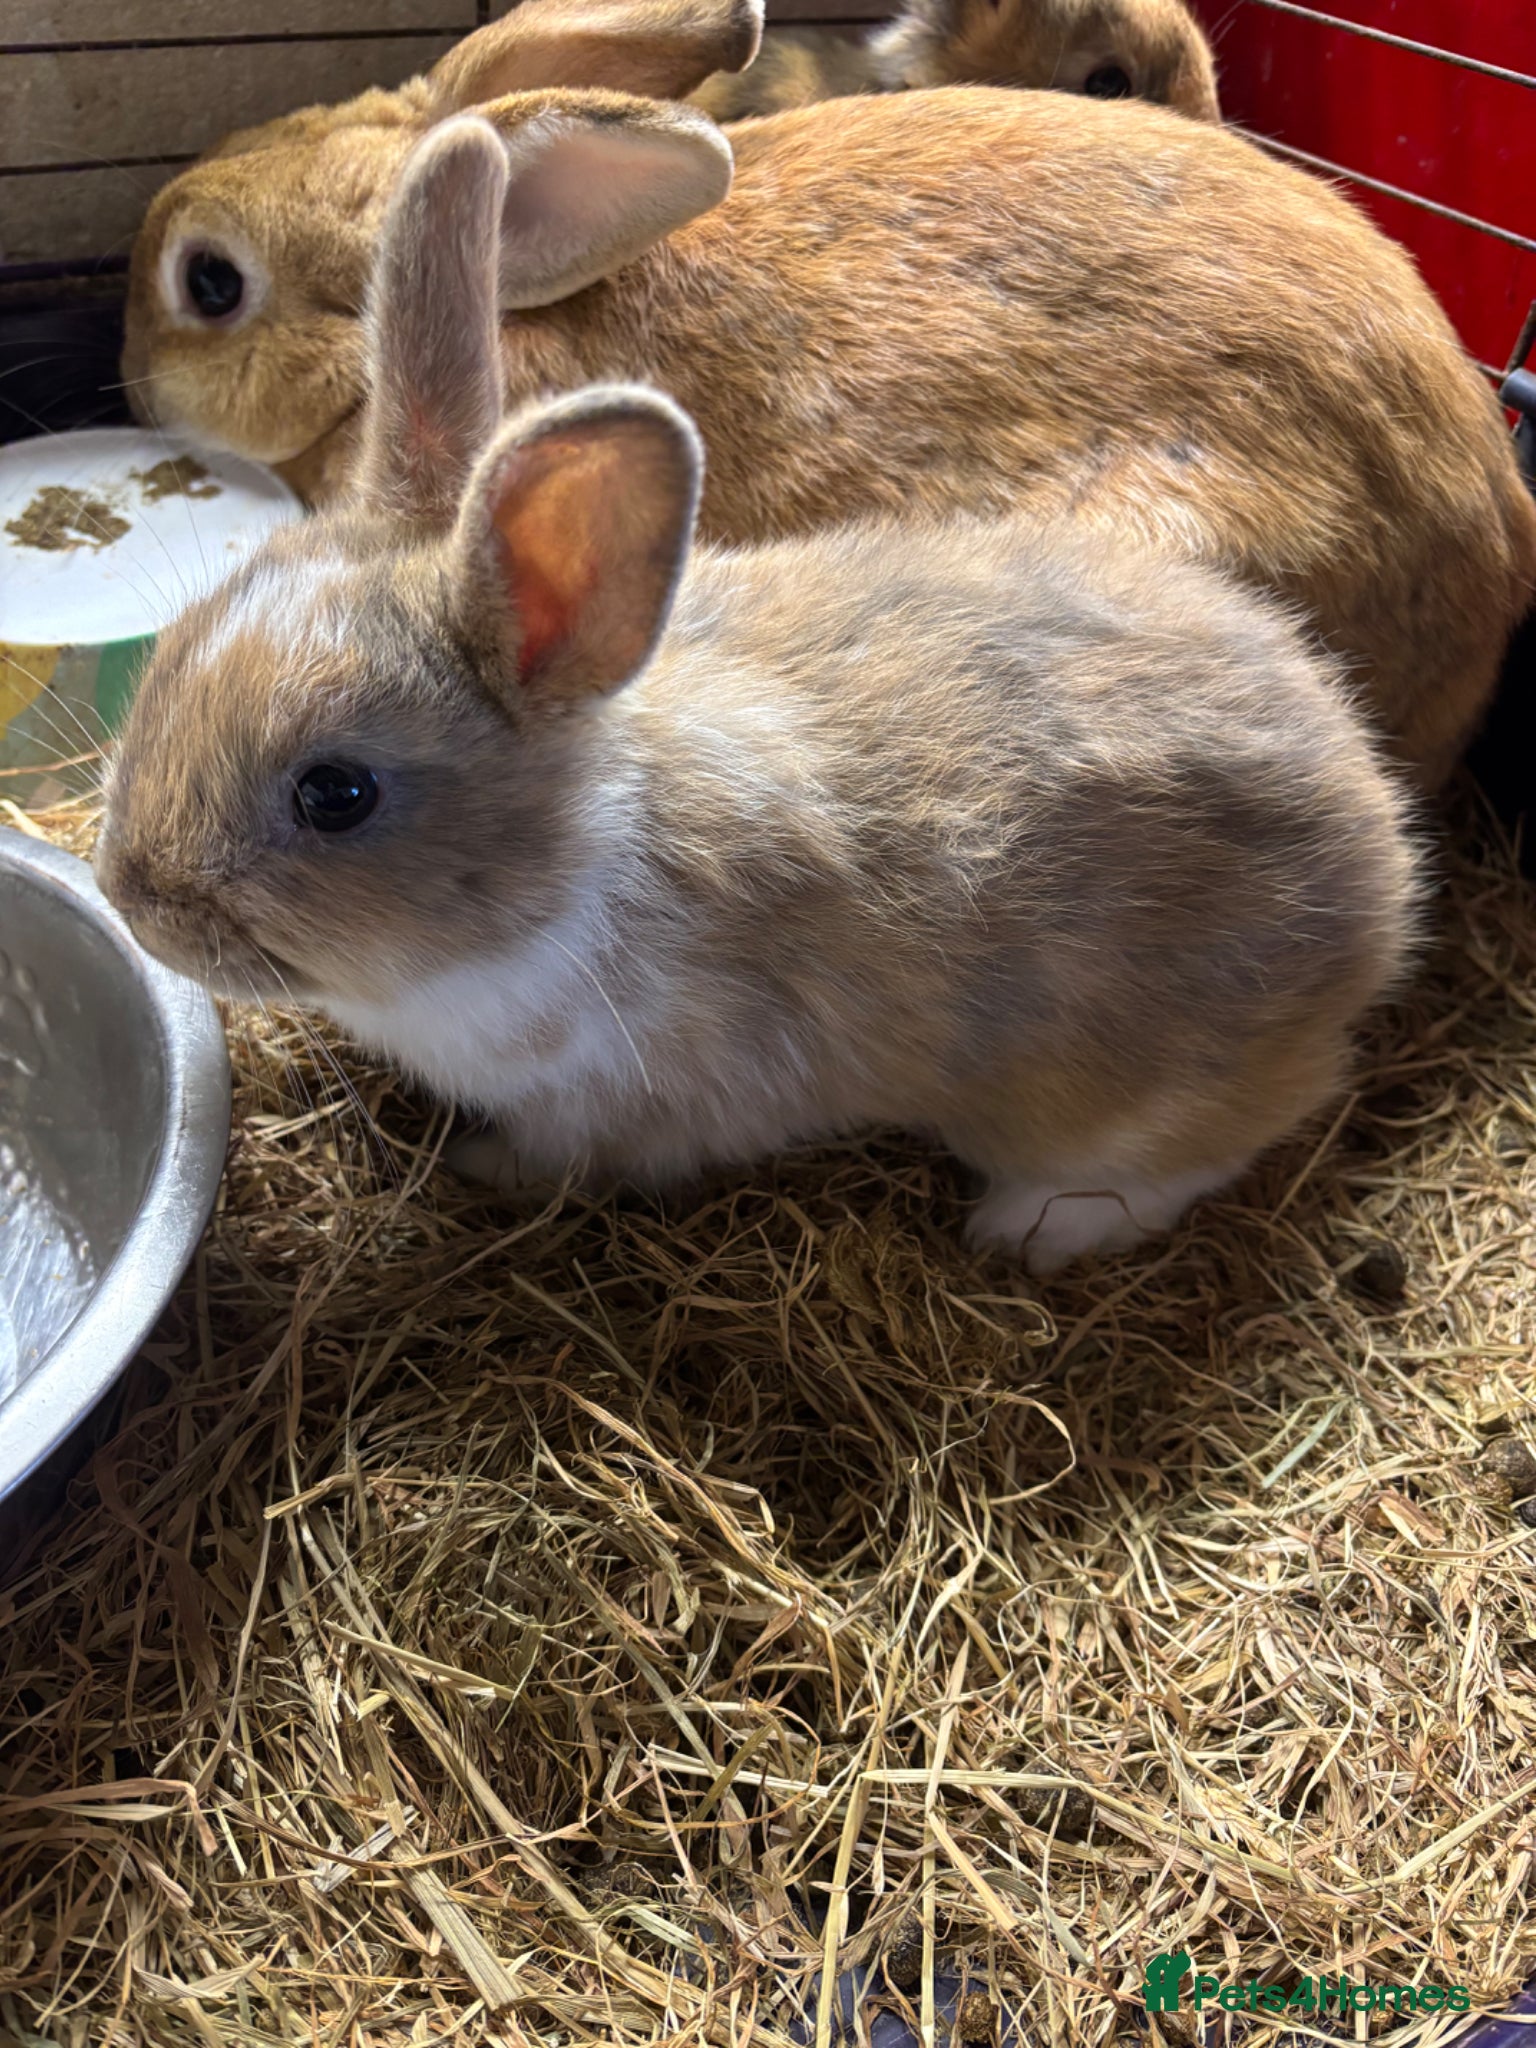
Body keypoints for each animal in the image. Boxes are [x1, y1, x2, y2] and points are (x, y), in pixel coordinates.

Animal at [96, 118, 1421, 1278]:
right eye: (174, 656)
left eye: (337, 793)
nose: (134, 895)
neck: (564, 862)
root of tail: (1382, 850)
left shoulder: (611, 1106)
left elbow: (553, 1153)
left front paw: (477, 1169)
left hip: (1131, 1085)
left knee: (1219, 1135)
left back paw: (1032, 1230)